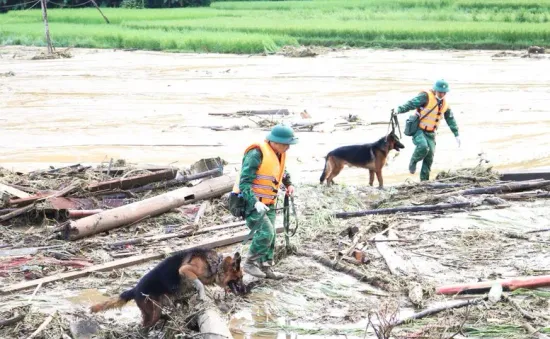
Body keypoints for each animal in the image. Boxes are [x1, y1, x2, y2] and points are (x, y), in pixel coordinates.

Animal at [90, 248, 244, 330]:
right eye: (240, 278)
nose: (245, 291)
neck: (217, 265)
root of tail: (134, 290)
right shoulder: (185, 270)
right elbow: (199, 283)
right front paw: (202, 294)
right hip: (153, 311)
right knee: (145, 324)